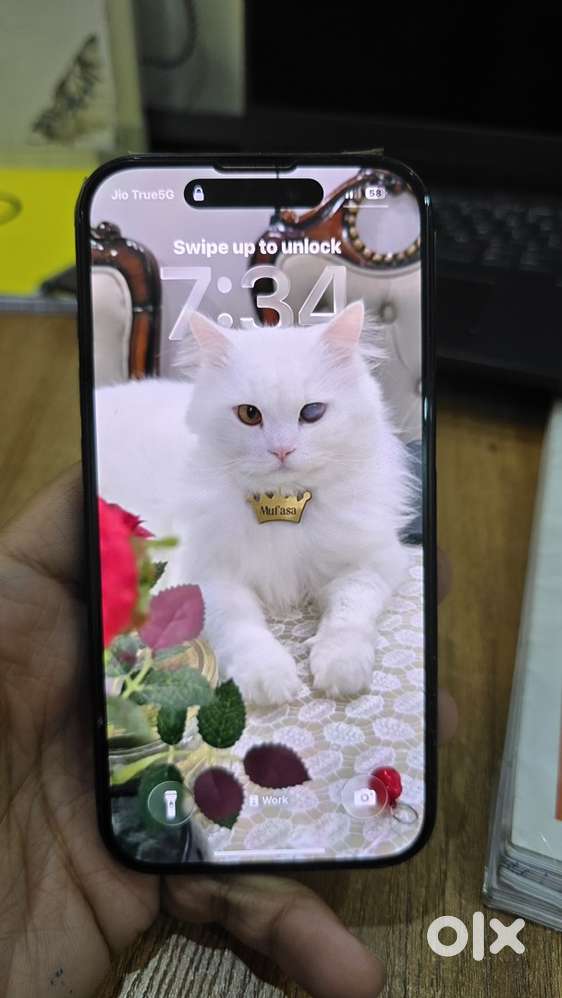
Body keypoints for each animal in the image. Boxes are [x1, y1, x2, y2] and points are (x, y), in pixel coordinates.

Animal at [95, 301, 413, 705]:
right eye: (249, 414)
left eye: (312, 412)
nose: (282, 450)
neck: (284, 504)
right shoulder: (208, 578)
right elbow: (242, 629)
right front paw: (268, 680)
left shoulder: (373, 562)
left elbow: (349, 614)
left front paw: (341, 669)